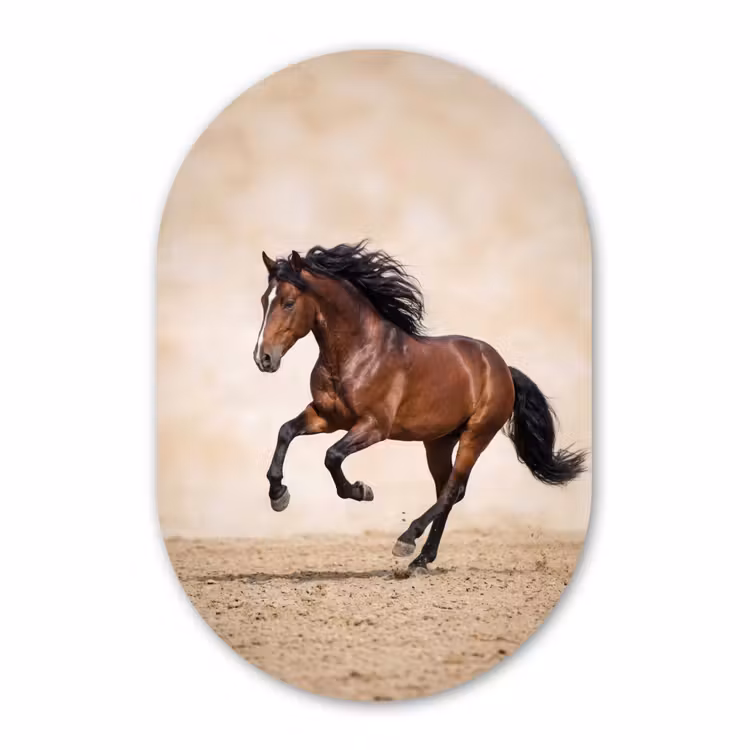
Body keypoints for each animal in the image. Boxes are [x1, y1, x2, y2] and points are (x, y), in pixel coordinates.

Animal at [253, 242, 587, 572]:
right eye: (263, 300)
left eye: (288, 302)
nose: (263, 358)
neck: (358, 352)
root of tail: (503, 368)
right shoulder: (327, 417)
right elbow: (286, 432)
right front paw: (278, 496)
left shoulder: (374, 426)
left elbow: (332, 456)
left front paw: (361, 491)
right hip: (438, 442)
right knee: (449, 491)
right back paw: (422, 559)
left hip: (476, 436)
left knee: (451, 491)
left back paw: (407, 541)